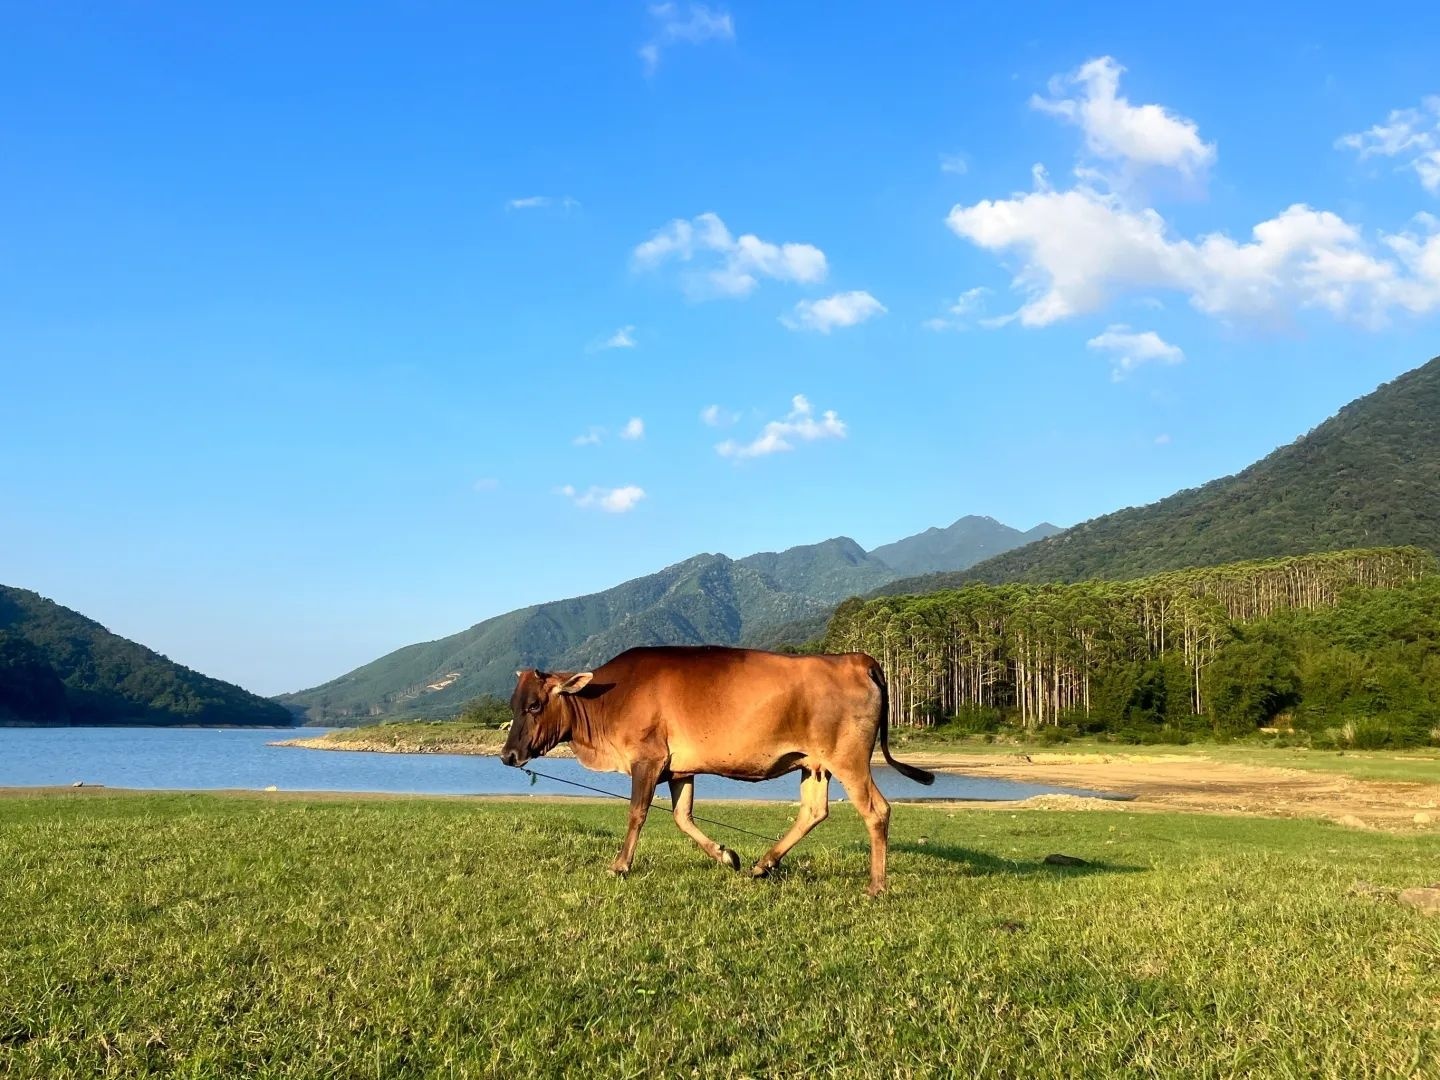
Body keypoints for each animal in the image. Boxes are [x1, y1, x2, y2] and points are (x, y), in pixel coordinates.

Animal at [501, 648, 938, 892]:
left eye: (535, 705)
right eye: (513, 704)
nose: (507, 755)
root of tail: (857, 660)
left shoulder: (648, 758)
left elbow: (637, 813)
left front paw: (620, 865)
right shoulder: (680, 769)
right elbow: (682, 817)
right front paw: (727, 856)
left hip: (849, 759)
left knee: (876, 811)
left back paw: (876, 886)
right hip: (815, 765)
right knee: (814, 811)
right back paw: (763, 864)